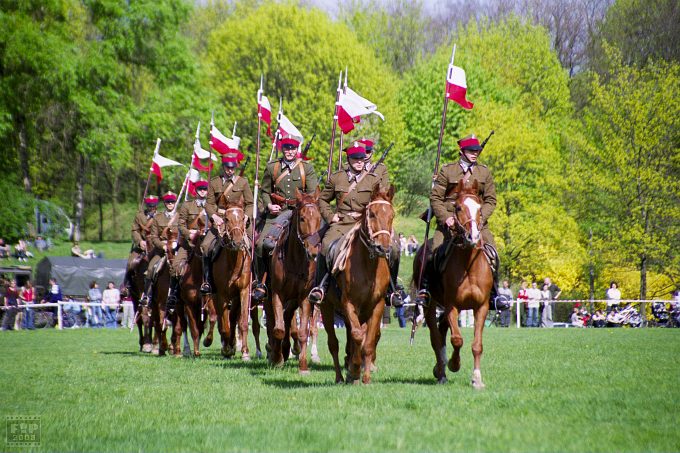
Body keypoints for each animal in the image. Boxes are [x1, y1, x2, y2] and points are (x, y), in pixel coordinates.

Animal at [210, 196, 260, 358]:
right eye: (226, 218)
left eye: (243, 218)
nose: (237, 242)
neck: (233, 262)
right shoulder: (222, 294)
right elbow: (224, 325)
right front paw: (226, 348)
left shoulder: (244, 291)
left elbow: (242, 322)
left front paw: (245, 352)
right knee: (222, 320)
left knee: (233, 319)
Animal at [264, 187, 322, 370]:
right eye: (302, 218)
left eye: (319, 218)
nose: (313, 251)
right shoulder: (277, 294)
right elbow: (278, 329)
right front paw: (277, 358)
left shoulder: (304, 297)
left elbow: (302, 331)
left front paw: (303, 365)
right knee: (273, 323)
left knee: (289, 320)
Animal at [322, 185, 396, 384]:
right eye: (372, 214)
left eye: (392, 215)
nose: (383, 248)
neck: (368, 265)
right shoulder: (349, 303)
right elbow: (357, 335)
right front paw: (354, 370)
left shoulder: (377, 305)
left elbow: (368, 341)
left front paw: (366, 377)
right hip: (326, 307)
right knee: (333, 343)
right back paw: (341, 376)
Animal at [412, 178, 492, 386]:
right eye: (457, 207)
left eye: (479, 208)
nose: (473, 237)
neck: (468, 266)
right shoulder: (451, 306)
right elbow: (457, 340)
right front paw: (454, 364)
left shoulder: (481, 307)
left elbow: (477, 344)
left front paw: (477, 379)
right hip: (430, 305)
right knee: (436, 337)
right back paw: (441, 372)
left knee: (441, 331)